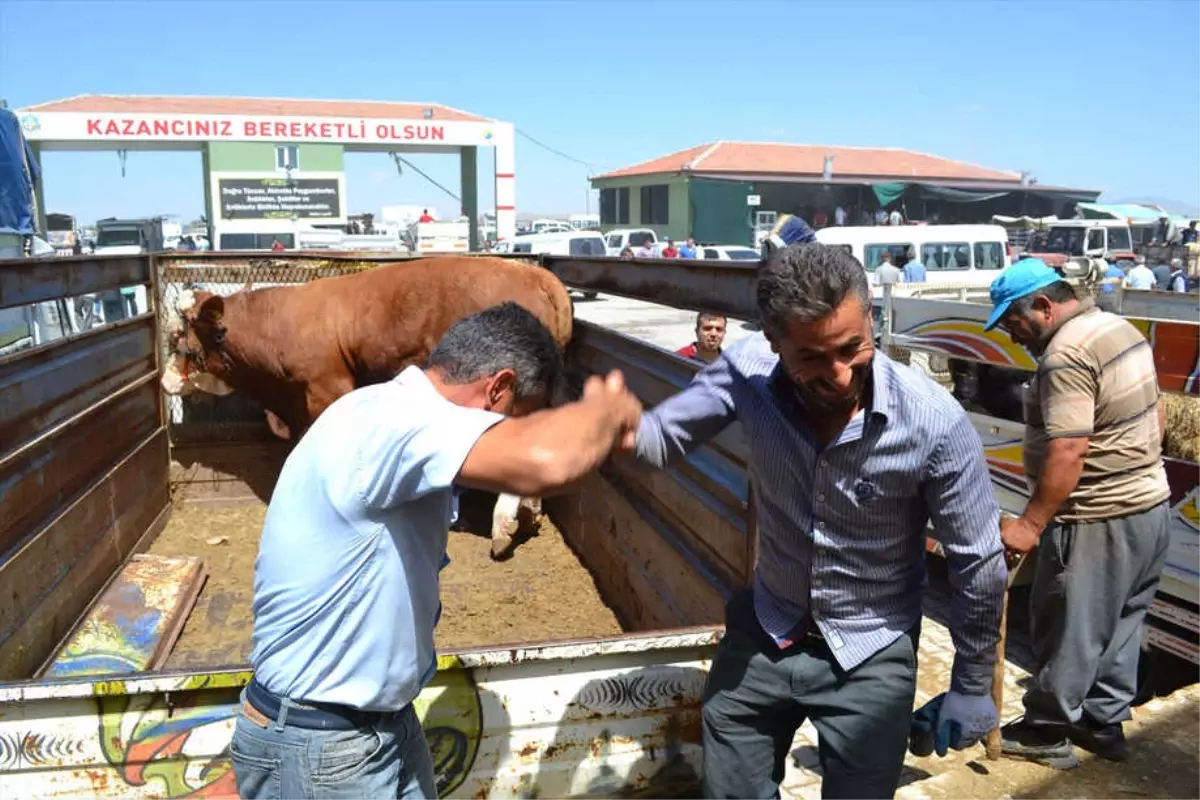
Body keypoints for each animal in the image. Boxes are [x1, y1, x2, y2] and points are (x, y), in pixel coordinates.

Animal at [162, 256, 573, 556]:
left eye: (179, 337)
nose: (166, 382)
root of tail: (530, 271)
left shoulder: (326, 389)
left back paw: (502, 527)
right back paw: (529, 513)